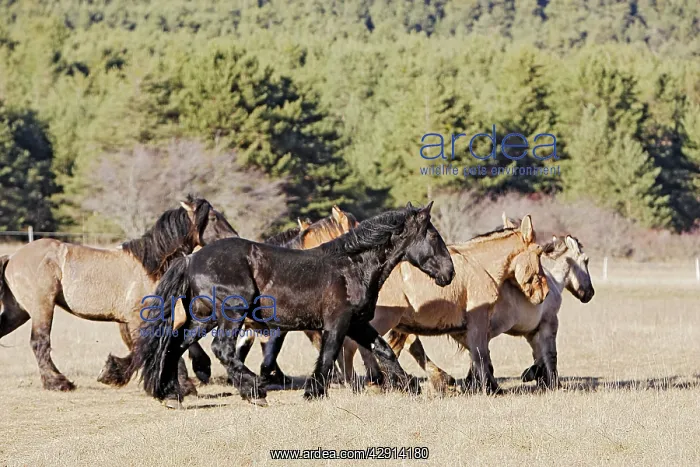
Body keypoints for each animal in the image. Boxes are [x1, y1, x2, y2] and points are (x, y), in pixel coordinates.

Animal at [0, 196, 237, 391]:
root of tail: (12, 257)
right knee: (39, 342)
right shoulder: (137, 318)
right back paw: (58, 383)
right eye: (213, 217)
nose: (234, 238)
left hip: (18, 312)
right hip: (42, 307)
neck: (151, 265)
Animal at [130, 202, 455, 408]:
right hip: (231, 314)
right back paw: (254, 392)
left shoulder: (357, 323)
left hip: (203, 318)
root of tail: (190, 259)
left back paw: (170, 394)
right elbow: (328, 356)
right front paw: (314, 392)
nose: (449, 273)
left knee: (175, 344)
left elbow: (383, 349)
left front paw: (408, 386)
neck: (352, 266)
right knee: (221, 349)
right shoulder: (337, 323)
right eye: (434, 235)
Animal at [335, 214, 550, 394]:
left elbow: (477, 355)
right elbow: (481, 354)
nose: (546, 292)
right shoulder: (478, 321)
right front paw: (491, 388)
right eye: (539, 252)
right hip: (382, 320)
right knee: (357, 347)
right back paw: (372, 382)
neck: (479, 265)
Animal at [385, 219, 595, 392]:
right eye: (586, 260)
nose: (590, 293)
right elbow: (549, 355)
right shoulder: (547, 324)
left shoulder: (521, 331)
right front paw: (550, 382)